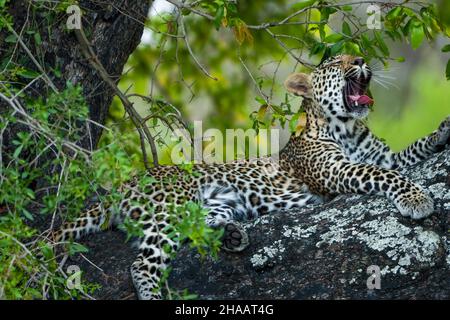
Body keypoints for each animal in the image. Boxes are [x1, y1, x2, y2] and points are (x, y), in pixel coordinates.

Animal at [53, 53, 450, 298]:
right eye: (336, 62)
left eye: (355, 56)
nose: (361, 60)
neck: (349, 128)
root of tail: (126, 182)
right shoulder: (337, 172)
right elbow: (381, 174)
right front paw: (416, 198)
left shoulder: (386, 156)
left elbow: (406, 154)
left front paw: (441, 132)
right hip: (167, 211)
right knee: (141, 264)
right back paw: (154, 291)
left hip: (209, 205)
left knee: (200, 226)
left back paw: (232, 235)